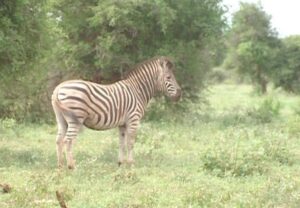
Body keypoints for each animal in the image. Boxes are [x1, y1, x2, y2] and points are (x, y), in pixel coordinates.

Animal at [51, 56, 182, 169]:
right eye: (169, 77)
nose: (179, 95)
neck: (137, 91)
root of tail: (59, 87)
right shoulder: (133, 119)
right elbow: (130, 143)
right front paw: (131, 164)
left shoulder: (122, 124)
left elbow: (121, 143)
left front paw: (120, 163)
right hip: (75, 118)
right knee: (67, 140)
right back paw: (71, 166)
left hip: (61, 119)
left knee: (58, 140)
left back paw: (60, 166)